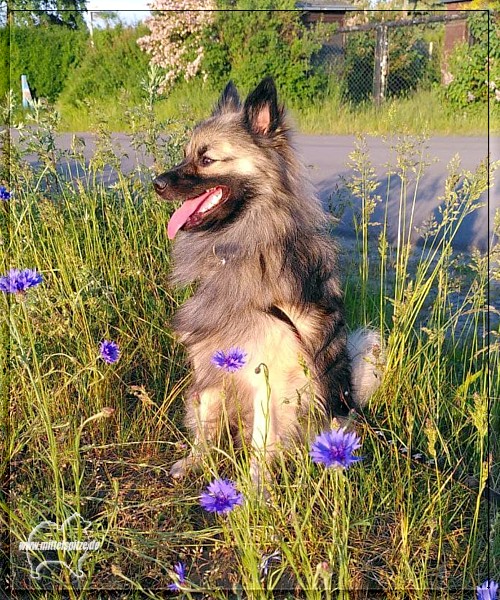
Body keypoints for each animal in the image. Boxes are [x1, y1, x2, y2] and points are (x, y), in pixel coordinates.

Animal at [154, 76, 380, 488]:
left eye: (206, 159)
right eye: (185, 154)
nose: (156, 183)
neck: (242, 244)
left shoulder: (268, 377)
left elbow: (262, 441)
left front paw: (254, 490)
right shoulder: (211, 361)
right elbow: (205, 420)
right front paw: (196, 462)